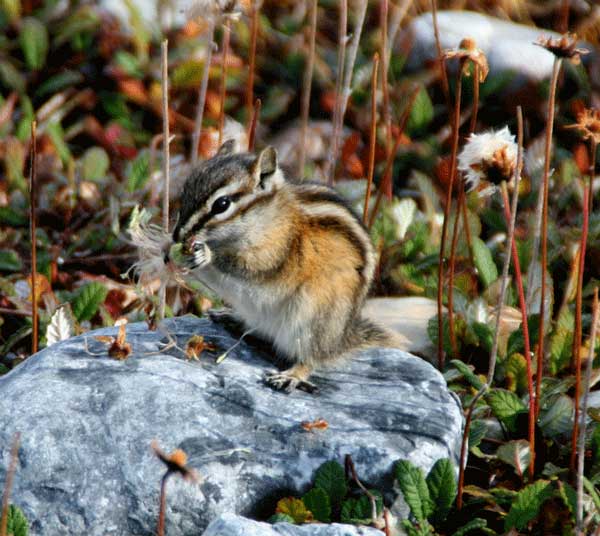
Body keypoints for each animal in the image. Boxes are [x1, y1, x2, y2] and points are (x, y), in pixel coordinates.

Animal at [170, 140, 398, 393]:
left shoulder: (276, 254)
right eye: (185, 190)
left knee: (311, 358)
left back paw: (292, 374)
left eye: (222, 204)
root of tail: (340, 340)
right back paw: (233, 318)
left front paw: (205, 255)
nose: (176, 235)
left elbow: (247, 268)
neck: (267, 217)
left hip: (312, 317)